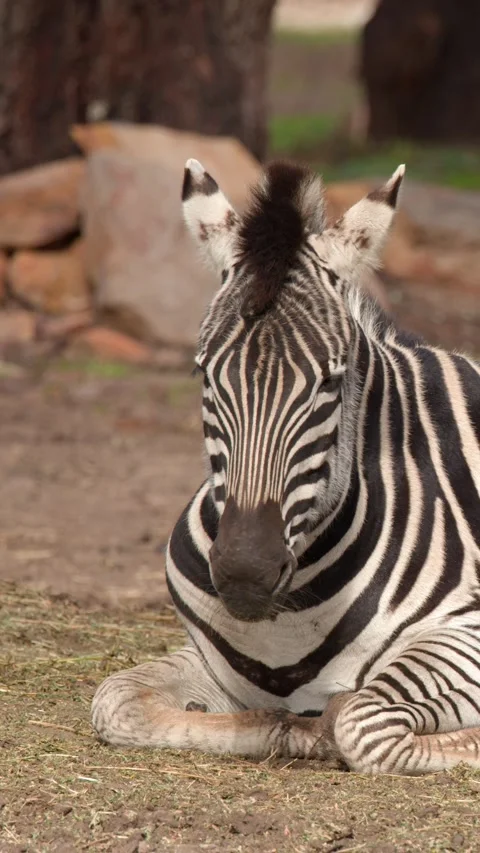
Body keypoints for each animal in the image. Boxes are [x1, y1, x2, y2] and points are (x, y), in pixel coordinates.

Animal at [92, 157, 480, 775]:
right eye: (203, 373)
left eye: (331, 380)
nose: (246, 571)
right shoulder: (207, 661)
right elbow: (117, 701)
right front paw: (290, 729)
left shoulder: (466, 632)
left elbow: (361, 725)